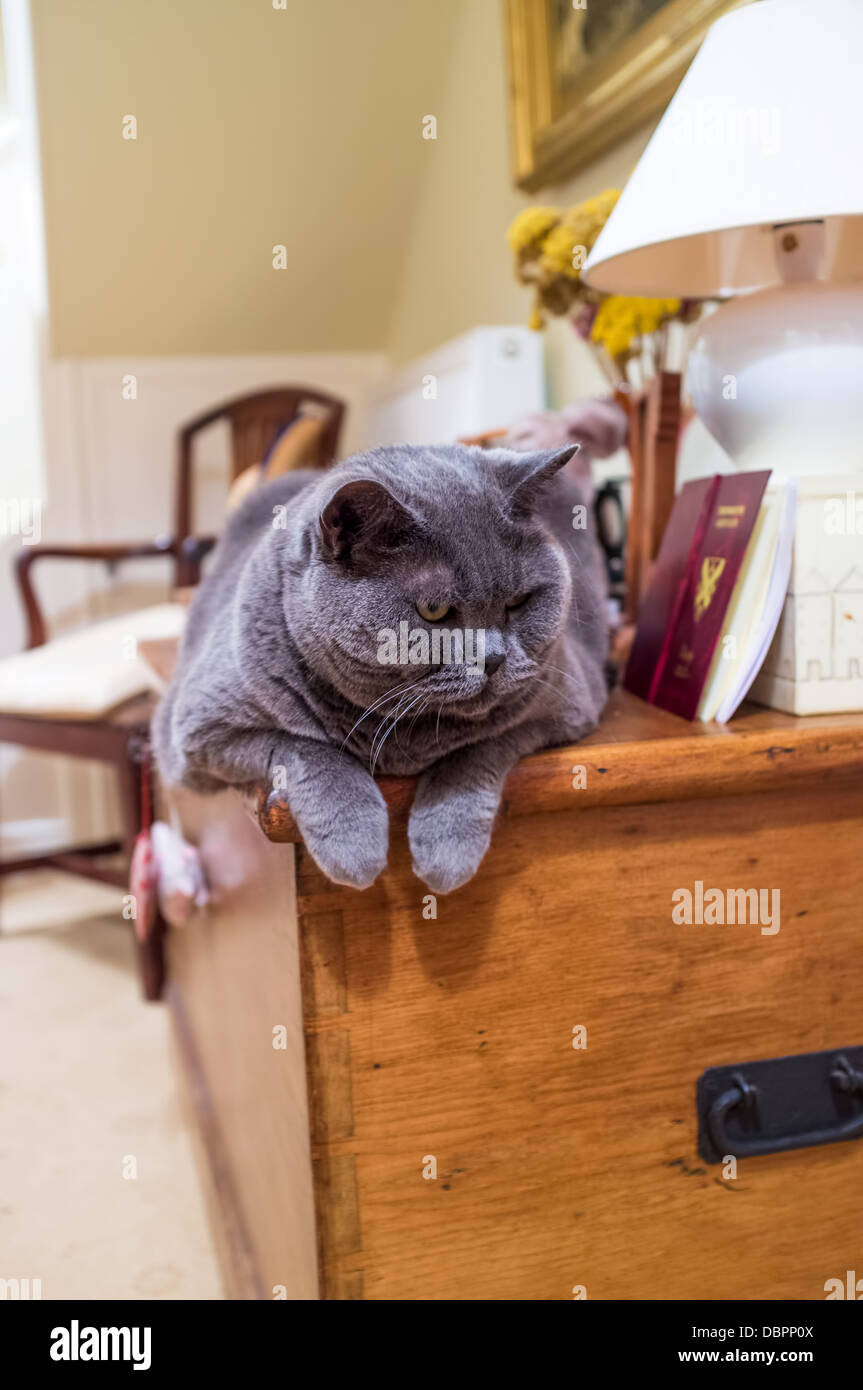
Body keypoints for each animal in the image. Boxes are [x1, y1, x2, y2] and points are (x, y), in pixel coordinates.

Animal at [151, 450, 605, 895]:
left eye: (518, 602)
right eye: (433, 611)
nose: (492, 658)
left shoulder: (566, 705)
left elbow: (479, 748)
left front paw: (446, 851)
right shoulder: (198, 733)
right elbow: (309, 748)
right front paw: (354, 848)